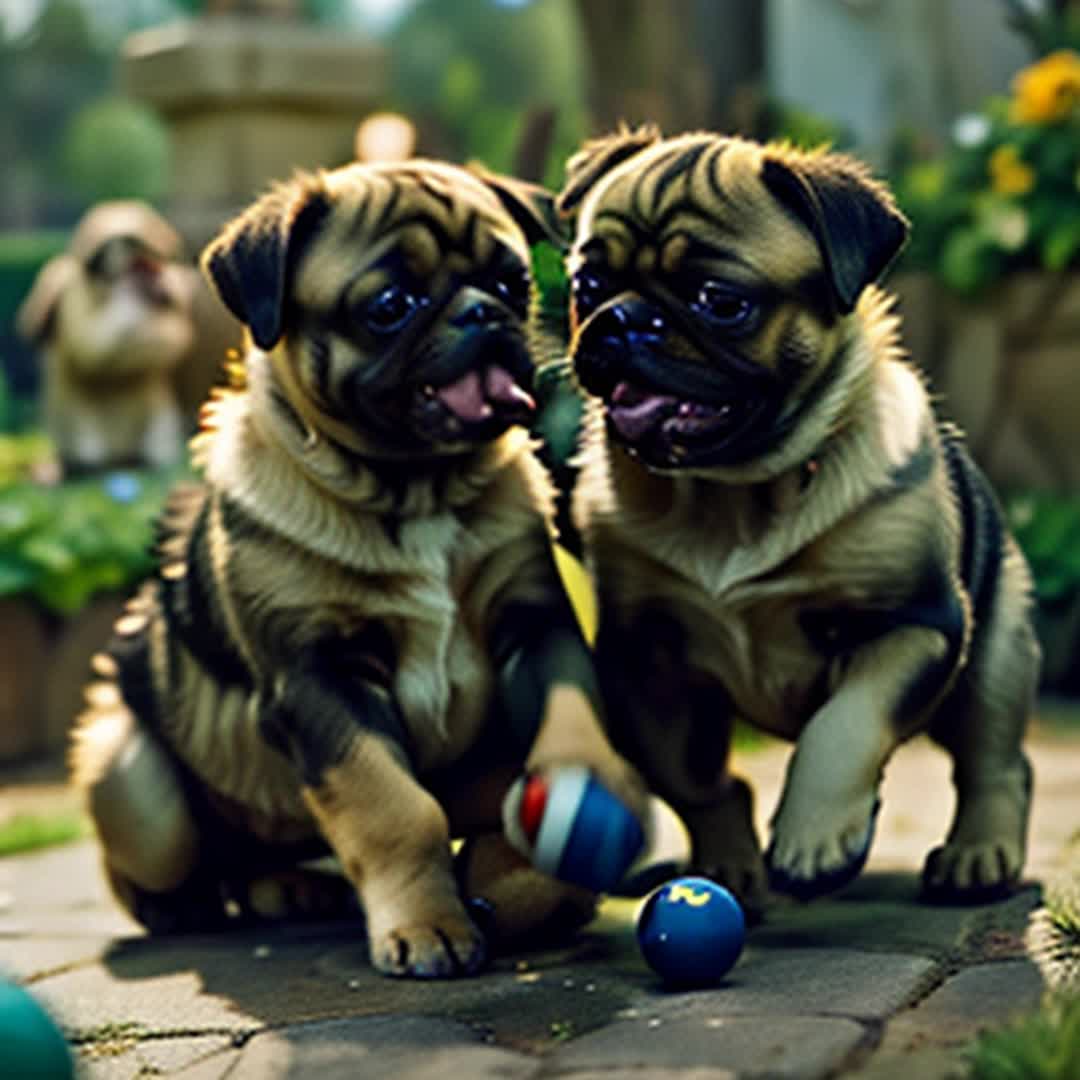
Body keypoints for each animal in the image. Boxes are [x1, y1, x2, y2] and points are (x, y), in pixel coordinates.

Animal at [15, 203, 196, 473]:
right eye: (142, 267)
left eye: (151, 265)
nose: (170, 247)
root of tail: (118, 458)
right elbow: (90, 348)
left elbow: (168, 340)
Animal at [73, 159, 648, 980]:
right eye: (389, 307)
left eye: (511, 282)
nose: (481, 313)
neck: (414, 490)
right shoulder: (324, 680)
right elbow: (395, 809)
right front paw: (429, 924)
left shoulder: (536, 630)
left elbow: (565, 738)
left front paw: (529, 874)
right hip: (133, 787)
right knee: (151, 862)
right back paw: (182, 904)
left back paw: (290, 887)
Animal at [557, 128, 1036, 920]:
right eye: (587, 288)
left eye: (720, 302)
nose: (622, 319)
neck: (732, 494)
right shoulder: (648, 662)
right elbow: (696, 780)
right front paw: (729, 864)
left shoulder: (911, 625)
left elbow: (844, 725)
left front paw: (815, 838)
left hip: (996, 653)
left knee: (995, 761)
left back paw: (978, 857)